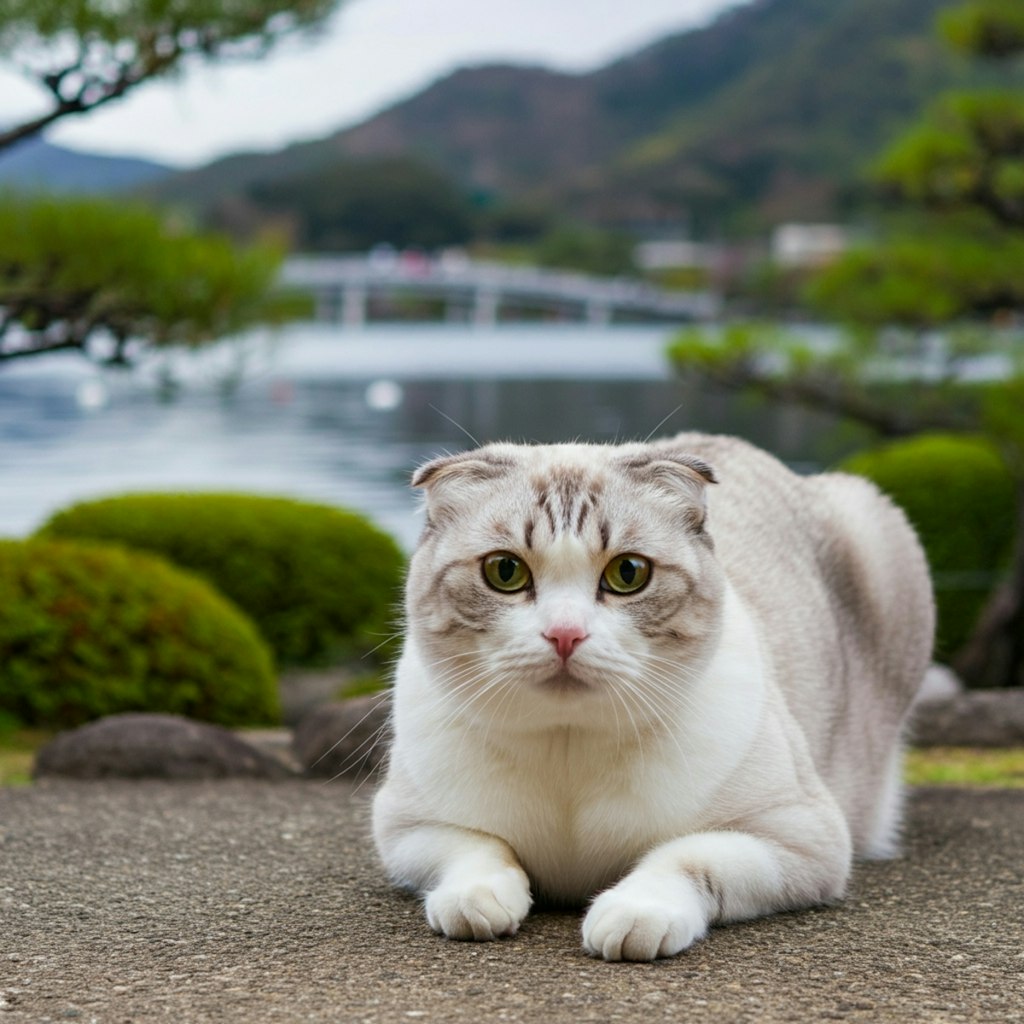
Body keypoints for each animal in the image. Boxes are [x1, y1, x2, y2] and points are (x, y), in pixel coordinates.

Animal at [374, 432, 937, 958]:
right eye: (504, 571)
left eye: (628, 573)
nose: (564, 634)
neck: (568, 747)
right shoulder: (404, 827)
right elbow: (477, 850)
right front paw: (476, 901)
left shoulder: (802, 837)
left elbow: (683, 856)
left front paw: (634, 914)